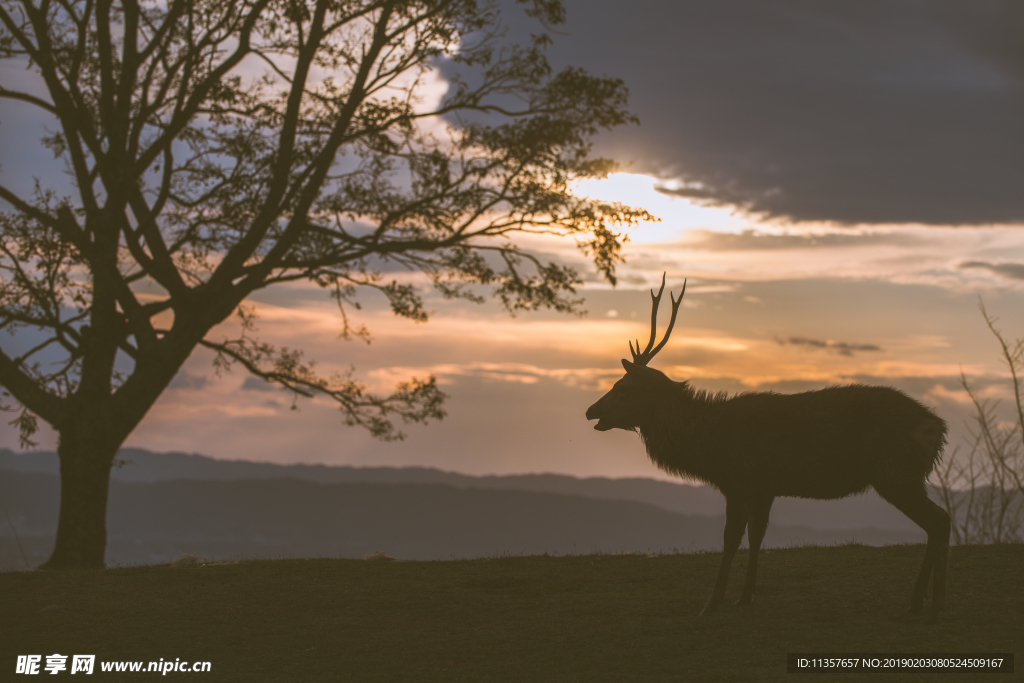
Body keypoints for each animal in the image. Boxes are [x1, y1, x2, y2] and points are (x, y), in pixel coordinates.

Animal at [585, 274, 950, 622]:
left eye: (622, 387)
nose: (590, 411)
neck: (707, 444)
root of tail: (937, 427)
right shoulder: (764, 487)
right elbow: (757, 535)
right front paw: (745, 595)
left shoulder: (738, 480)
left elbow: (731, 539)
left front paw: (711, 604)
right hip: (903, 474)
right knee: (936, 522)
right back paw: (917, 603)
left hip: (895, 471)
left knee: (940, 520)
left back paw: (932, 608)